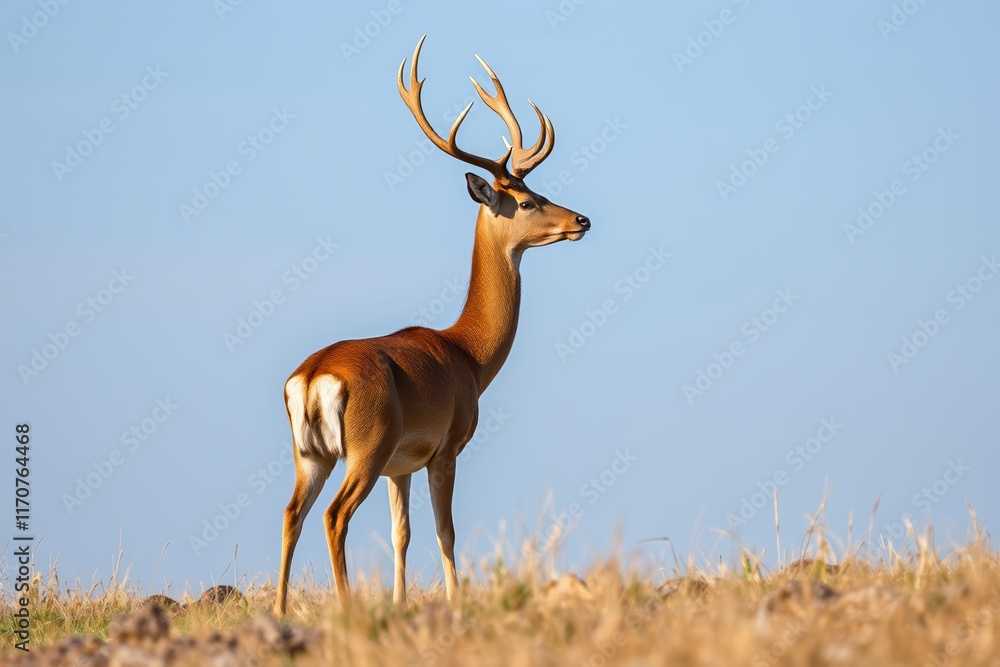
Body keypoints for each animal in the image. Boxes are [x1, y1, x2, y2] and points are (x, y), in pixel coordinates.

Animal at [273, 36, 591, 616]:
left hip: (310, 454)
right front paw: (455, 601)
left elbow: (402, 533)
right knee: (334, 515)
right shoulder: (445, 447)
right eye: (528, 200)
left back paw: (282, 609)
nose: (581, 219)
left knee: (292, 513)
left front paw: (401, 603)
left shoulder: (402, 465)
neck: (469, 354)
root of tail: (312, 378)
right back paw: (347, 606)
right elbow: (446, 532)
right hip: (366, 445)